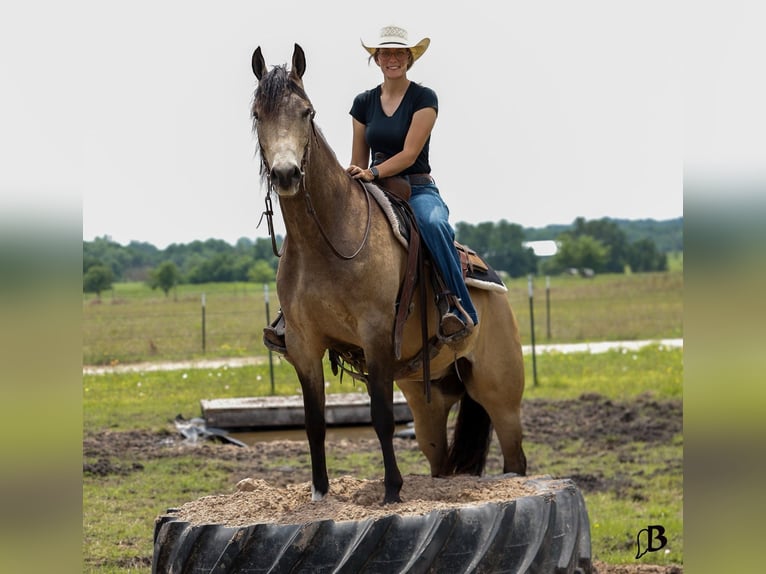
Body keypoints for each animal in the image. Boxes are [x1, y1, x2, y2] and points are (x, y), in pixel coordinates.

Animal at [251, 44, 526, 505]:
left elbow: (380, 416)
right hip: (427, 397)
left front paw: (393, 490)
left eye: (307, 112)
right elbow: (313, 422)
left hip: (501, 395)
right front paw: (320, 493)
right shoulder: (304, 347)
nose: (287, 174)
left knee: (516, 459)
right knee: (438, 457)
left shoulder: (376, 334)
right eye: (257, 114)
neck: (328, 239)